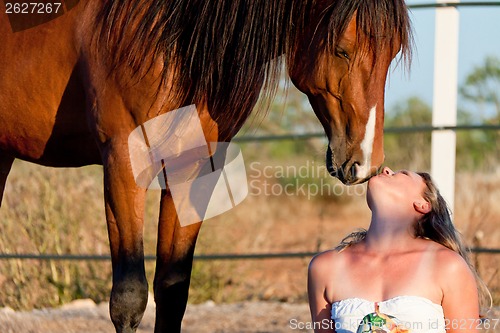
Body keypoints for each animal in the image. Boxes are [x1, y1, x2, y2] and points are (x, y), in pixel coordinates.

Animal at [0, 0, 412, 330]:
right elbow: (129, 297)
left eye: (392, 53)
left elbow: (172, 290)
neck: (171, 41)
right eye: (342, 50)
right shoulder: (122, 166)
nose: (364, 164)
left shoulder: (192, 173)